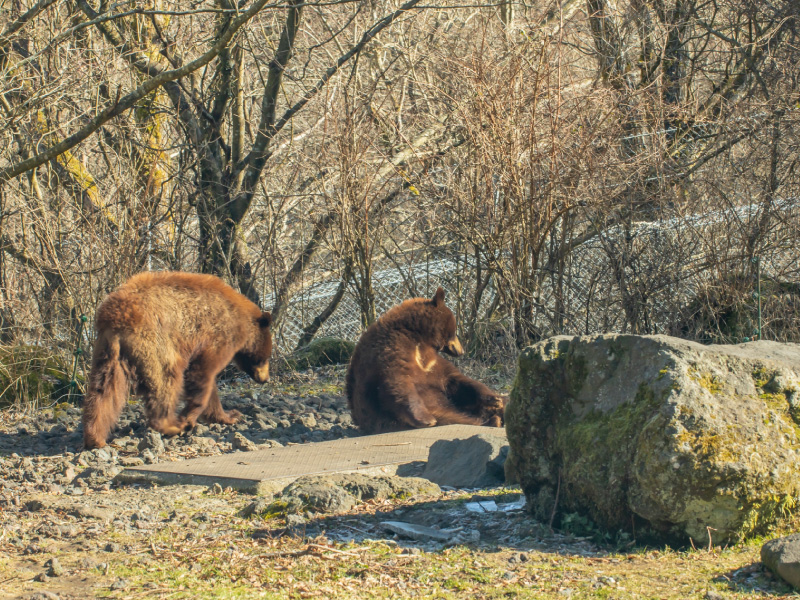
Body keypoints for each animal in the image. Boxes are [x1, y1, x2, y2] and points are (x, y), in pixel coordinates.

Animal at [82, 271, 272, 449]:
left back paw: (94, 437)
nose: (266, 379)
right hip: (155, 343)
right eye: (266, 356)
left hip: (107, 352)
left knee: (102, 390)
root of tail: (116, 319)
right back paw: (173, 425)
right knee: (166, 380)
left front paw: (228, 415)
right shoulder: (218, 336)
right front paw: (190, 417)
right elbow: (203, 373)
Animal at [346, 287, 506, 434]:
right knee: (453, 418)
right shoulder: (391, 350)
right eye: (454, 330)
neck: (419, 338)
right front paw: (426, 419)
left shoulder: (433, 364)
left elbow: (456, 381)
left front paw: (494, 400)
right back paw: (492, 420)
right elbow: (398, 383)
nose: (461, 351)